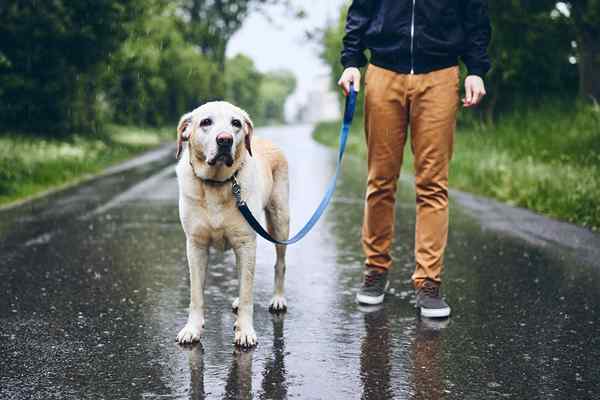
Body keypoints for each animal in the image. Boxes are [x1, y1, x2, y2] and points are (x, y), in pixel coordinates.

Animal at [175, 101, 290, 348]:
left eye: (235, 123)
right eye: (206, 122)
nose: (225, 140)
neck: (216, 184)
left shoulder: (246, 244)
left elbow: (247, 293)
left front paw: (245, 331)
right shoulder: (195, 245)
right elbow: (196, 295)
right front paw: (192, 329)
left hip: (280, 222)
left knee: (279, 264)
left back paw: (277, 298)